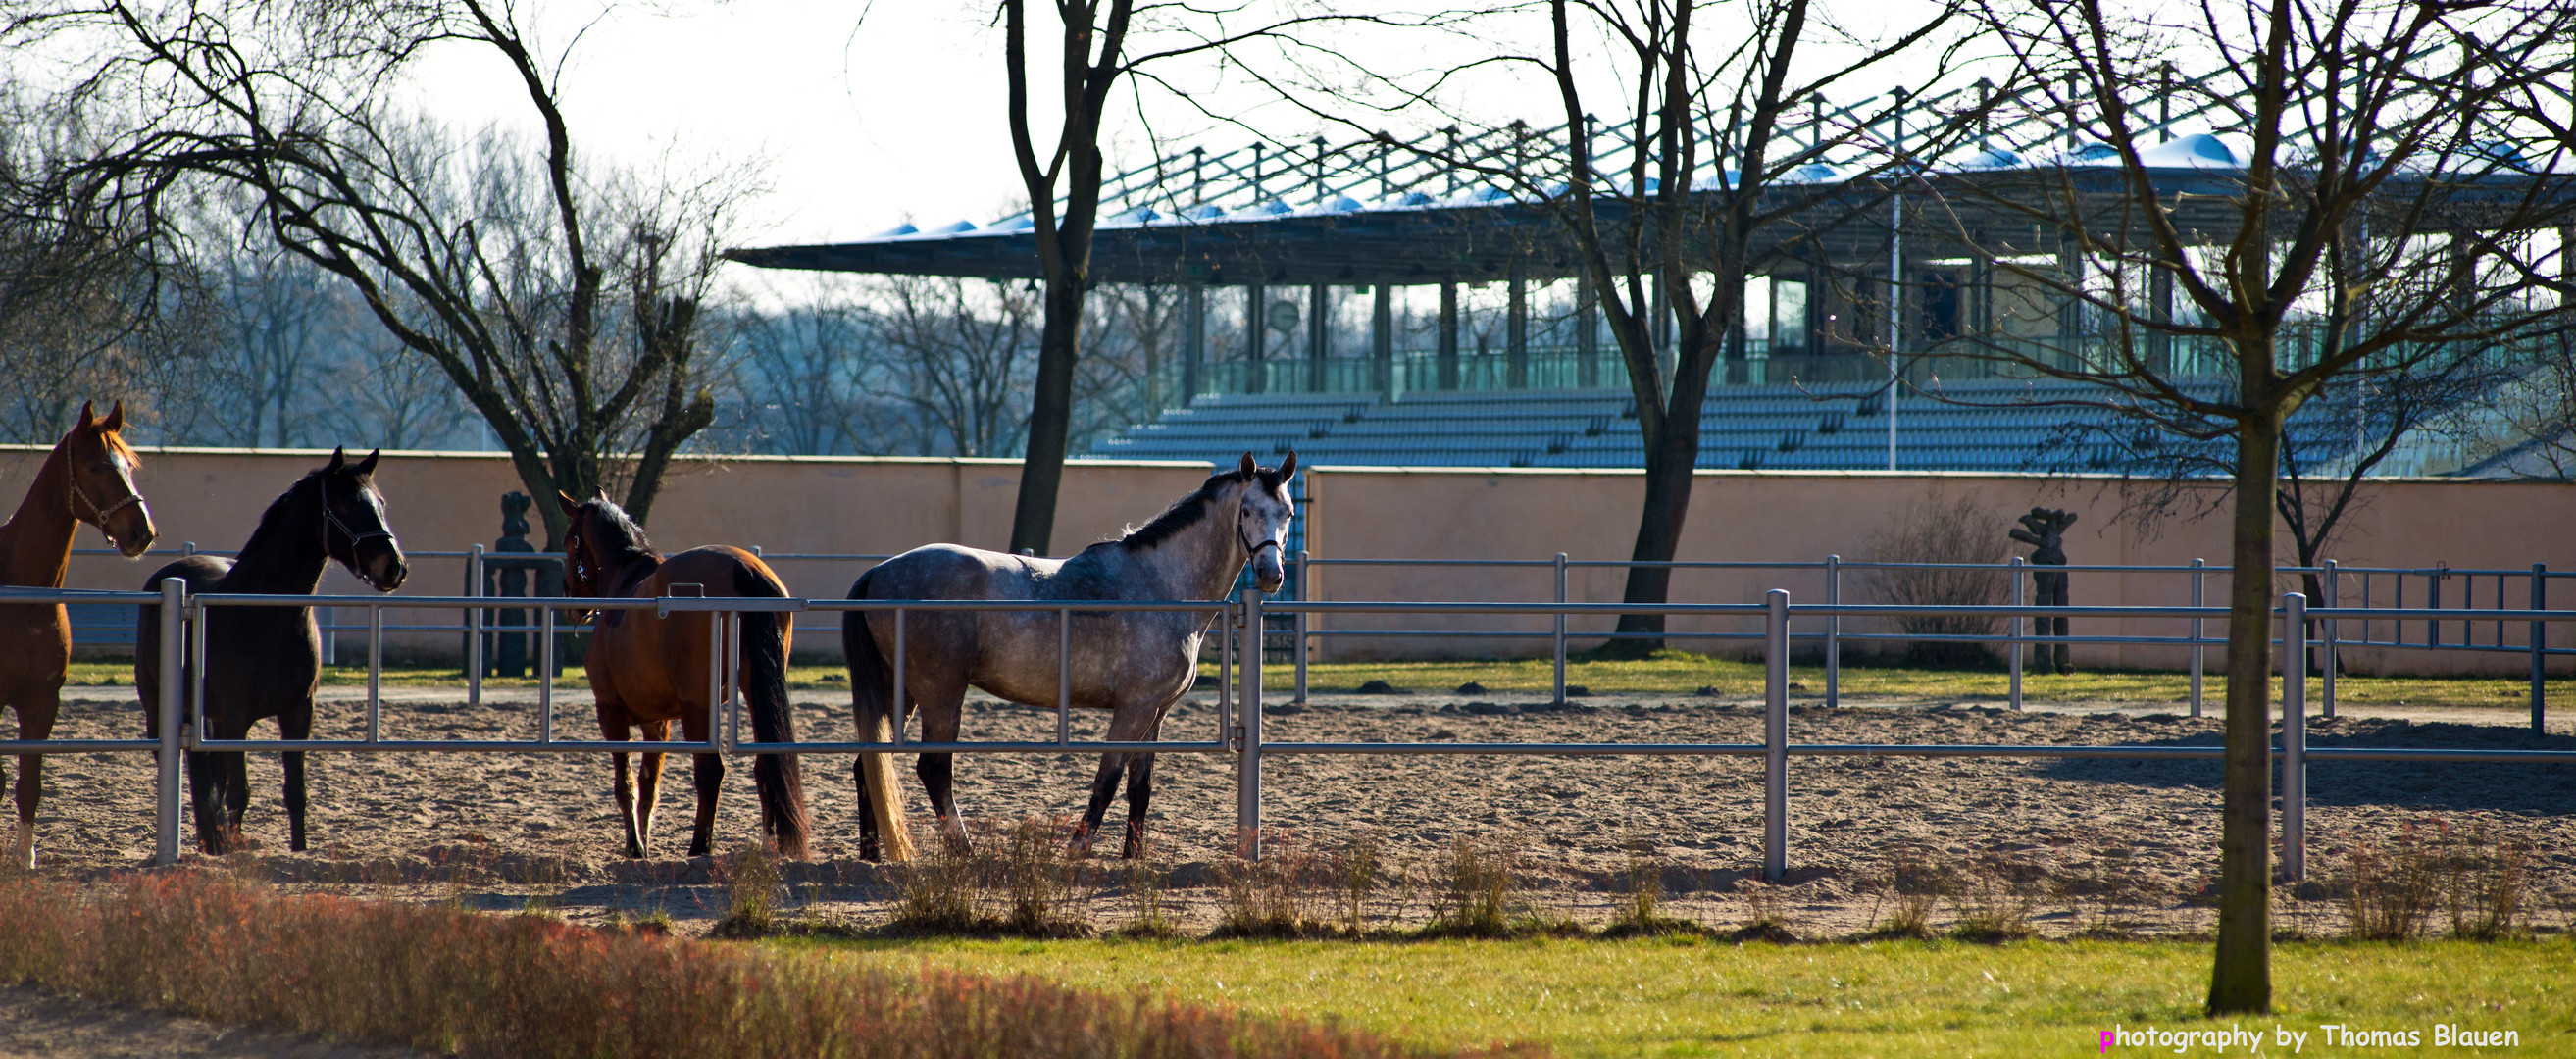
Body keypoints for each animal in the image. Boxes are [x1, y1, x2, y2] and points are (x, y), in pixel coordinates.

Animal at [0, 401, 156, 865]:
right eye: (95, 465)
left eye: (128, 465)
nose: (142, 532)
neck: (23, 597)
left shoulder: (42, 703)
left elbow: (28, 786)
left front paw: (25, 857)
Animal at [134, 448, 404, 855]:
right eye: (347, 503)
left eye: (381, 504)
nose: (394, 568)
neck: (265, 614)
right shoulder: (235, 720)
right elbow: (239, 793)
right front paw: (231, 848)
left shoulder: (297, 714)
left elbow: (295, 793)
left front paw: (298, 850)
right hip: (161, 708)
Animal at [559, 494, 808, 860]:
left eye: (568, 542)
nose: (570, 604)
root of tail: (744, 568)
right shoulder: (657, 723)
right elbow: (649, 785)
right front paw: (644, 844)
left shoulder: (610, 712)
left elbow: (626, 785)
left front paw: (635, 847)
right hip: (754, 692)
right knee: (765, 768)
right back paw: (767, 844)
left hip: (697, 705)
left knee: (710, 771)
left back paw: (699, 847)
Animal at [844, 450, 1298, 860]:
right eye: (1247, 510)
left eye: (1289, 513)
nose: (1270, 575)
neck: (1160, 584)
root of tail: (878, 573)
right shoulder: (1133, 709)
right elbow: (1107, 780)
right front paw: (1077, 849)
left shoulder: (1156, 712)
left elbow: (1140, 788)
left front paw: (1132, 858)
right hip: (941, 694)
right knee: (934, 771)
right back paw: (965, 852)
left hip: (901, 692)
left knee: (869, 764)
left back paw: (873, 855)